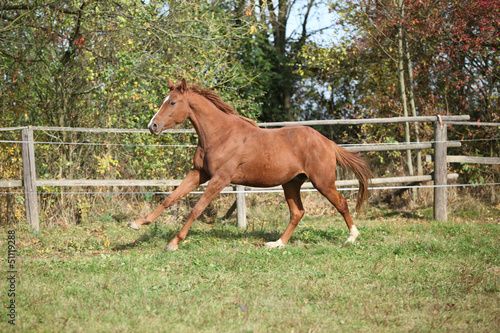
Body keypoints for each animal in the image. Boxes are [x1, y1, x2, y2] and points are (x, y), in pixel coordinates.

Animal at [129, 78, 372, 249]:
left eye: (172, 102)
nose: (152, 126)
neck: (220, 134)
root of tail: (327, 142)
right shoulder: (199, 173)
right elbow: (170, 198)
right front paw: (137, 223)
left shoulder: (220, 179)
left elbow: (197, 209)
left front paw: (173, 243)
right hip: (291, 183)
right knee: (297, 213)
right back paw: (276, 244)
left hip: (322, 182)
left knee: (341, 203)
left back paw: (352, 237)